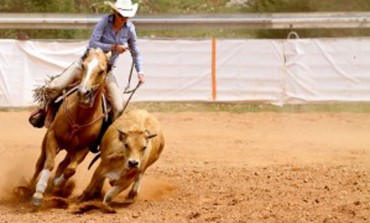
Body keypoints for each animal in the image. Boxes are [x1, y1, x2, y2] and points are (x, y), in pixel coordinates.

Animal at [25, 48, 111, 206]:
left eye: (102, 71)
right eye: (83, 66)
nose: (83, 93)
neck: (80, 117)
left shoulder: (83, 149)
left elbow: (70, 170)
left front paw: (56, 183)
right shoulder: (52, 136)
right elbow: (49, 163)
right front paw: (38, 193)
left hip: (70, 149)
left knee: (63, 164)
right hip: (47, 140)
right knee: (40, 163)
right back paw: (29, 187)